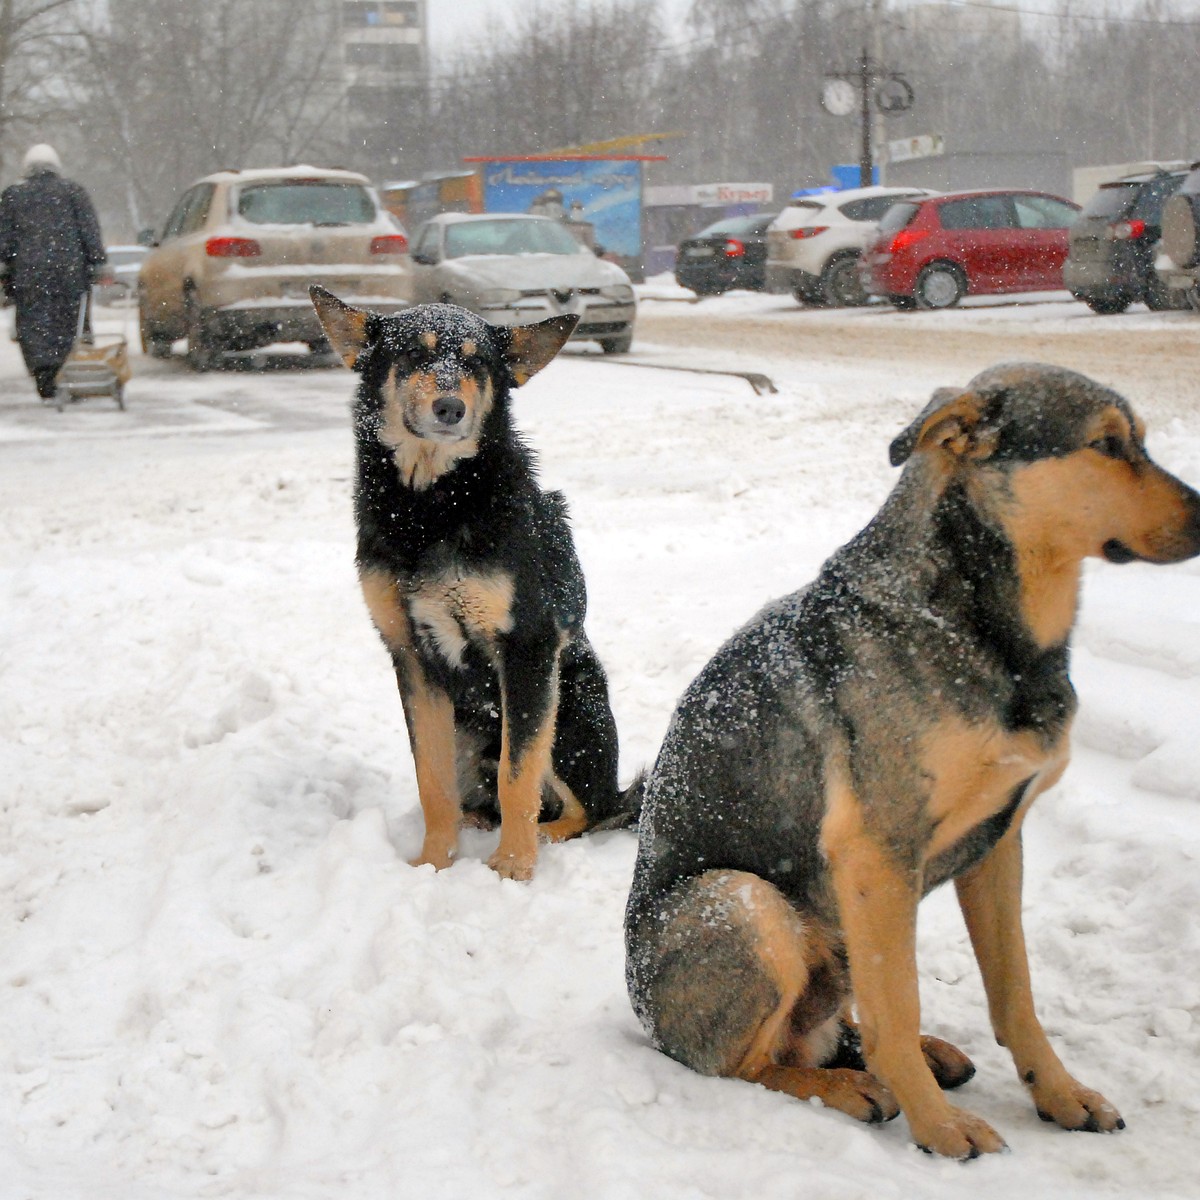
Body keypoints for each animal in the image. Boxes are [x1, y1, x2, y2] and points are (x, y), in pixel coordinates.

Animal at [314, 284, 643, 878]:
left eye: (476, 362)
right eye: (413, 354)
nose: (451, 407)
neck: (430, 508)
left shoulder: (527, 648)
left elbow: (518, 774)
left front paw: (513, 868)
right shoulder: (411, 656)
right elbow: (432, 780)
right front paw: (433, 864)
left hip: (570, 709)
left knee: (591, 808)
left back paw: (542, 837)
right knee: (482, 795)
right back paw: (475, 825)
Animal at [628, 360, 1200, 1156]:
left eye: (1140, 441)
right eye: (1108, 445)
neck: (977, 620)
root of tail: (645, 1023)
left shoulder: (999, 845)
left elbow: (1015, 996)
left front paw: (1059, 1094)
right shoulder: (877, 852)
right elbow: (899, 1006)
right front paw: (939, 1126)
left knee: (826, 1028)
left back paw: (905, 1057)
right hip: (745, 902)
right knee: (747, 1063)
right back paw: (849, 1086)